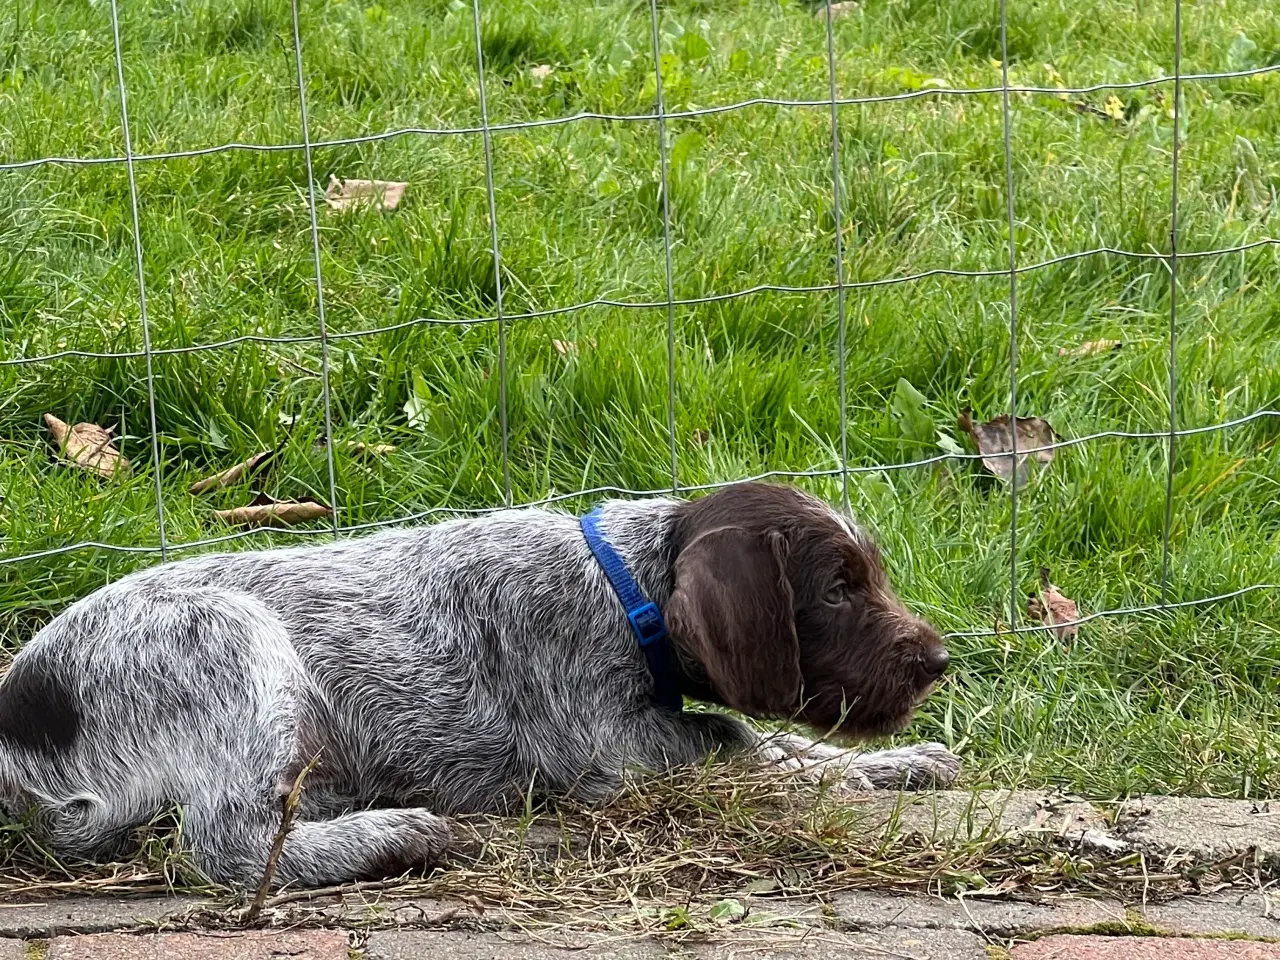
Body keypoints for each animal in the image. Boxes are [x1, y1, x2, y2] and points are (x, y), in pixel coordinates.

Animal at [0, 483, 962, 890]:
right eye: (837, 589)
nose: (938, 659)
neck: (620, 586)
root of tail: (20, 722)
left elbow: (786, 743)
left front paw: (901, 762)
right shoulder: (613, 752)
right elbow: (749, 743)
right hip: (231, 641)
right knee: (225, 846)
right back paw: (395, 837)